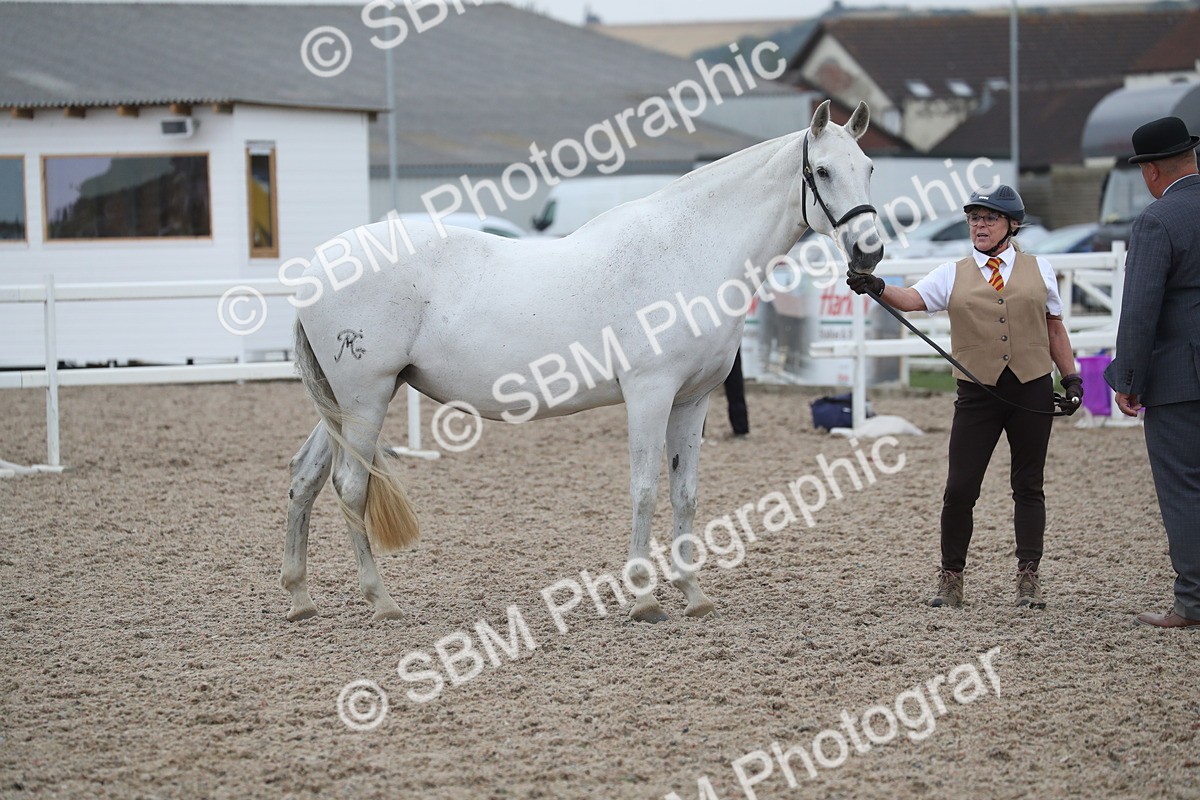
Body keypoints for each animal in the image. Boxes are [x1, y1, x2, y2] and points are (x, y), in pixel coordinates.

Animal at [282, 100, 884, 622]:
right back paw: (380, 600)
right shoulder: (650, 394)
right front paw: (643, 599)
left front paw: (694, 593)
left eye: (870, 167)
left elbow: (685, 494)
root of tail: (316, 269)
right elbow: (645, 490)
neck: (688, 251)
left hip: (347, 403)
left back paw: (300, 596)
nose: (869, 251)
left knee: (306, 475)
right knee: (349, 485)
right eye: (823, 171)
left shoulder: (692, 400)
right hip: (367, 396)